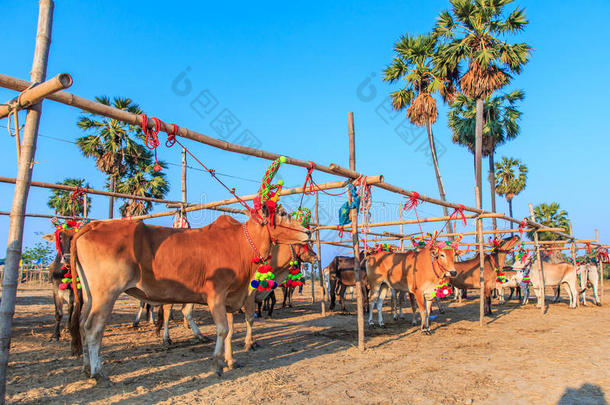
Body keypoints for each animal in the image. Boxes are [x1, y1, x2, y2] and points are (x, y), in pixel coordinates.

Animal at [69, 205, 308, 382]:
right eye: (283, 213)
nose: (308, 232)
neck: (241, 245)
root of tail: (92, 225)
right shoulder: (217, 295)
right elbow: (223, 330)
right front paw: (216, 364)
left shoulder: (232, 298)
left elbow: (231, 331)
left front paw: (230, 361)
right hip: (106, 293)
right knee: (93, 329)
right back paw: (98, 373)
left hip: (90, 295)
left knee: (81, 324)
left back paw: (86, 368)